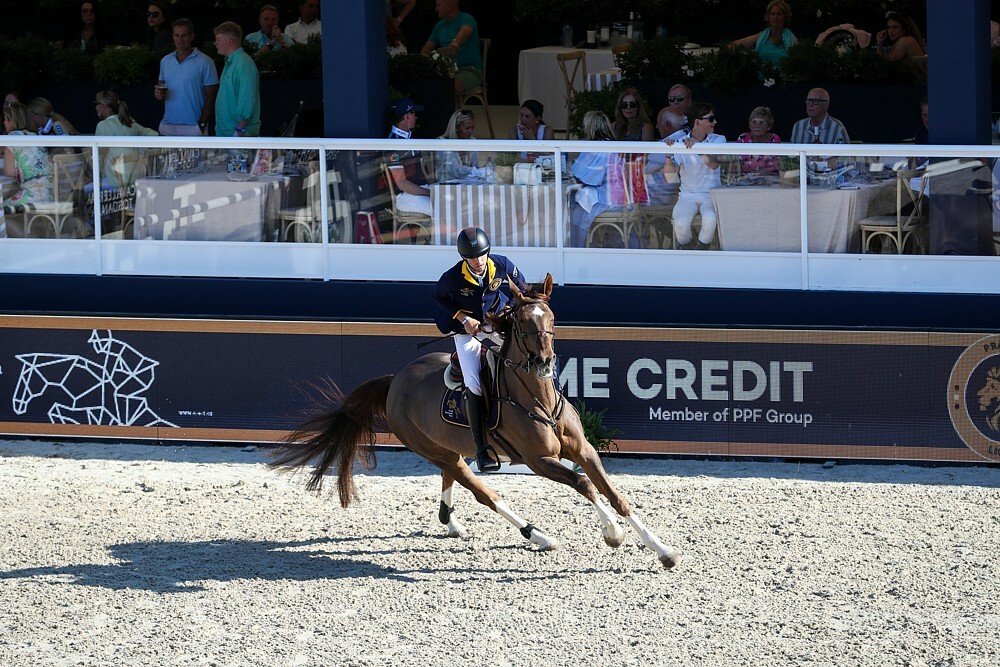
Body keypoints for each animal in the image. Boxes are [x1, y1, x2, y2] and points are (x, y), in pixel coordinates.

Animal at [270, 274, 684, 572]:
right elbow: (583, 485)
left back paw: (451, 522)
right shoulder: (540, 462)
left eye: (551, 318)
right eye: (521, 322)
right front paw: (612, 534)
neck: (538, 396)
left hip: (451, 447)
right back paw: (537, 535)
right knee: (481, 490)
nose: (545, 361)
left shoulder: (582, 450)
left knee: (454, 476)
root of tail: (395, 380)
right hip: (434, 449)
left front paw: (663, 551)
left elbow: (616, 496)